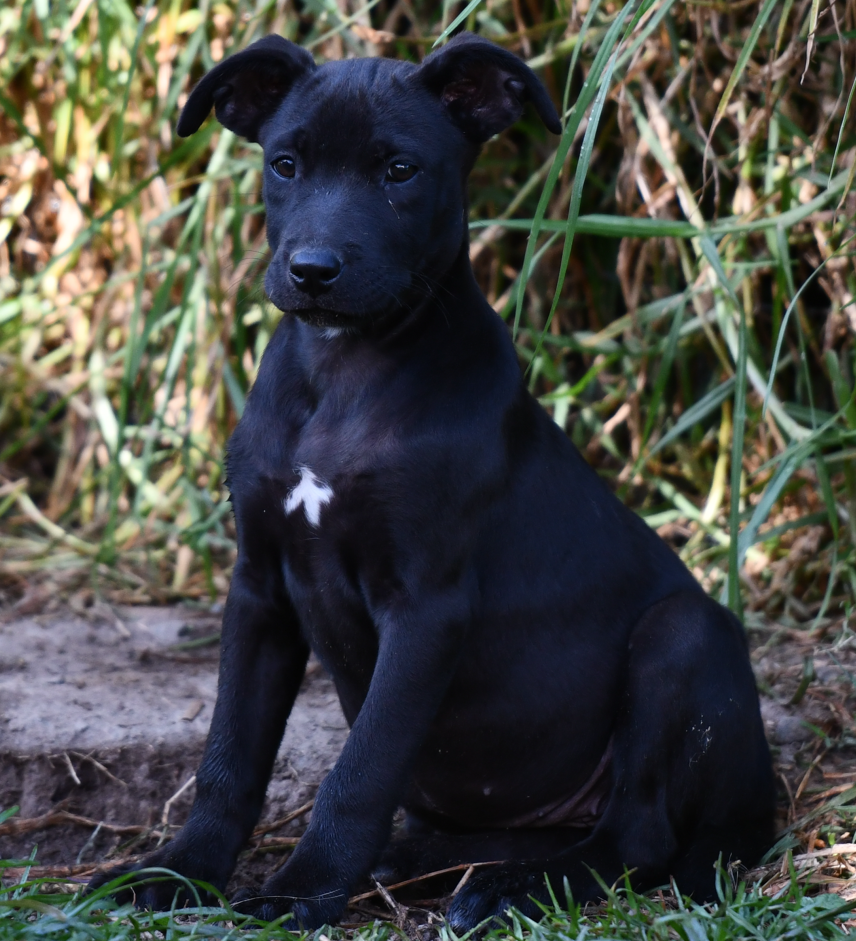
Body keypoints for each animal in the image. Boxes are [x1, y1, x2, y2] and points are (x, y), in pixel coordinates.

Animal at [90, 32, 775, 930]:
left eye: (400, 171)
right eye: (285, 164)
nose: (312, 269)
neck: (343, 374)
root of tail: (763, 790)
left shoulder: (426, 608)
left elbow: (361, 768)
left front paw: (304, 888)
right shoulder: (258, 588)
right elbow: (228, 757)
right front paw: (181, 870)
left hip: (682, 633)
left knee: (637, 836)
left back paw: (509, 887)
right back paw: (426, 862)